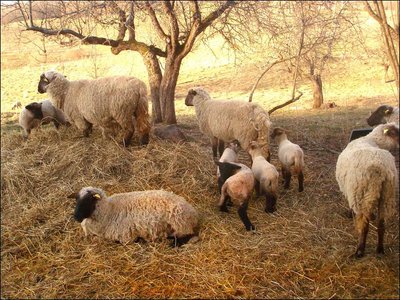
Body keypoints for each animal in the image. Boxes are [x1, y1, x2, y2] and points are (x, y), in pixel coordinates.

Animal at [69, 186, 200, 247]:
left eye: (88, 201)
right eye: (77, 200)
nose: (76, 217)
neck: (108, 211)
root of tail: (192, 211)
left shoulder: (125, 236)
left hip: (179, 223)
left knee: (189, 236)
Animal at [336, 123, 398, 256]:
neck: (371, 139)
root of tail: (380, 170)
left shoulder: (352, 193)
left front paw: (349, 213)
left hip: (363, 195)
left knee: (364, 225)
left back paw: (360, 250)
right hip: (386, 195)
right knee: (381, 223)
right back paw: (380, 249)